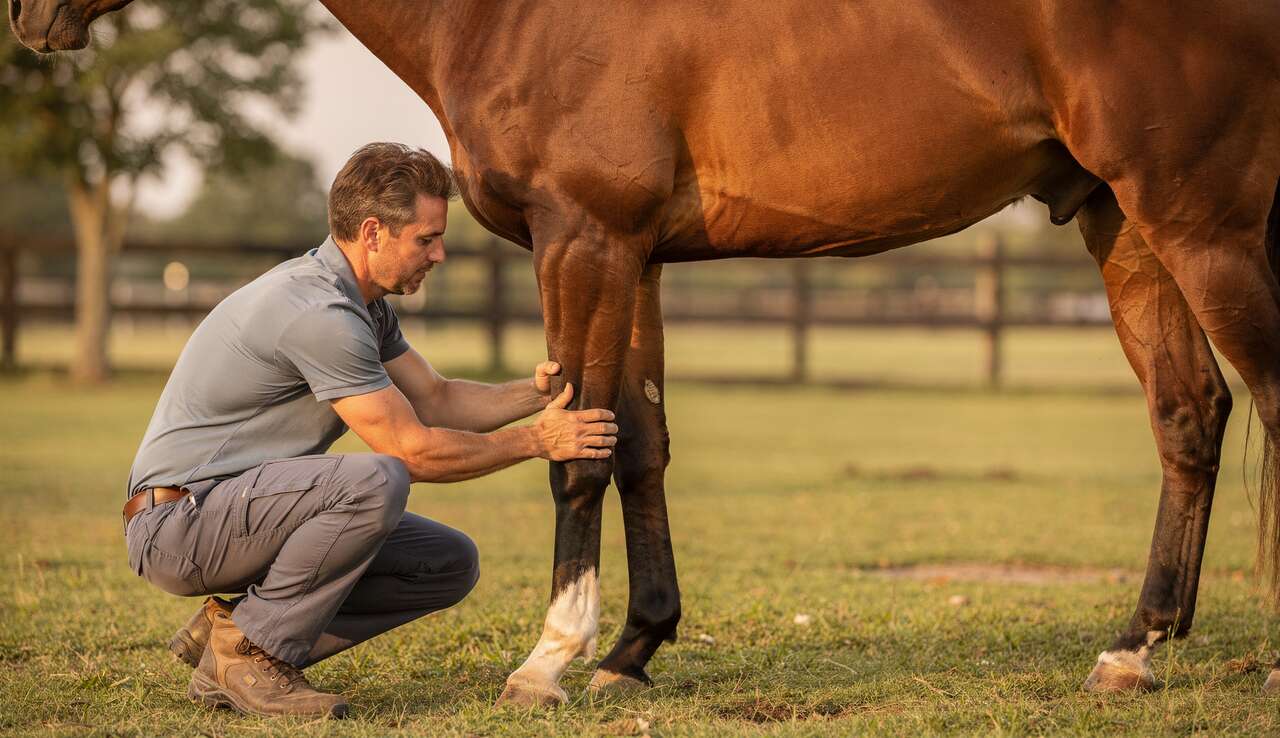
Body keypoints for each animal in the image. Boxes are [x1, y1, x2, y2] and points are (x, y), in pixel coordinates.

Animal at [12, 0, 1280, 705]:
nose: (30, 18)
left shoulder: (582, 239)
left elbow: (575, 453)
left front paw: (549, 661)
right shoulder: (639, 255)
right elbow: (636, 444)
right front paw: (632, 648)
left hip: (1197, 220)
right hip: (1119, 220)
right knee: (1188, 416)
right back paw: (1131, 652)